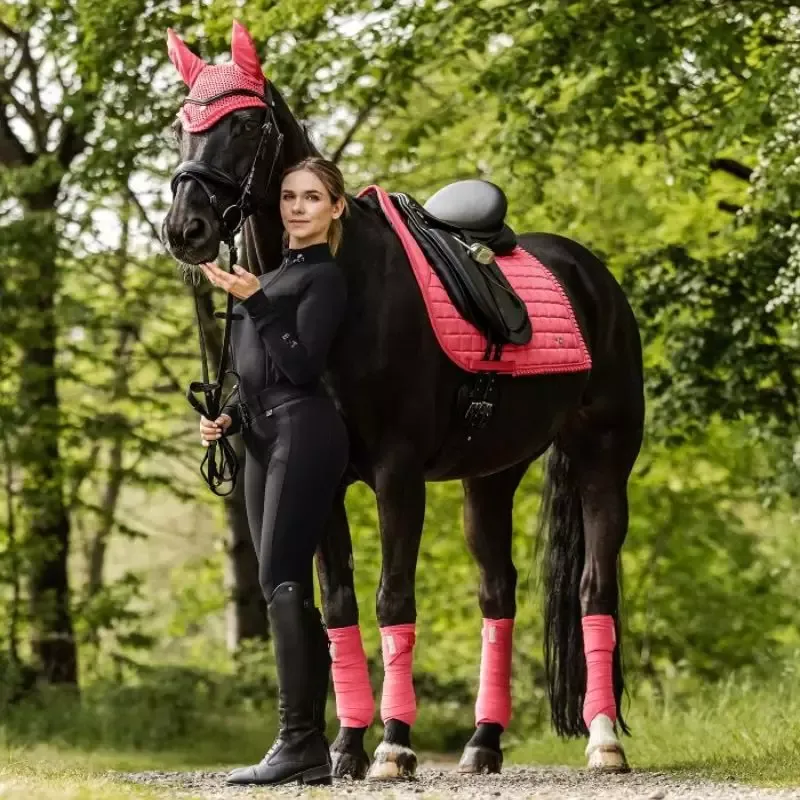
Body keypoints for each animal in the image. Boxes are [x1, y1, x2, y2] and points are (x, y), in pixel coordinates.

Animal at [162, 21, 644, 781]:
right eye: (182, 125)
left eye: (242, 123)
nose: (187, 228)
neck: (343, 284)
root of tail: (592, 275)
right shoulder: (323, 481)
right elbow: (337, 605)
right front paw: (344, 748)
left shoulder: (396, 474)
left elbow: (394, 599)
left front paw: (391, 745)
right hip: (490, 479)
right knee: (498, 592)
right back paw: (482, 744)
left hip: (604, 461)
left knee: (595, 588)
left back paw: (603, 741)